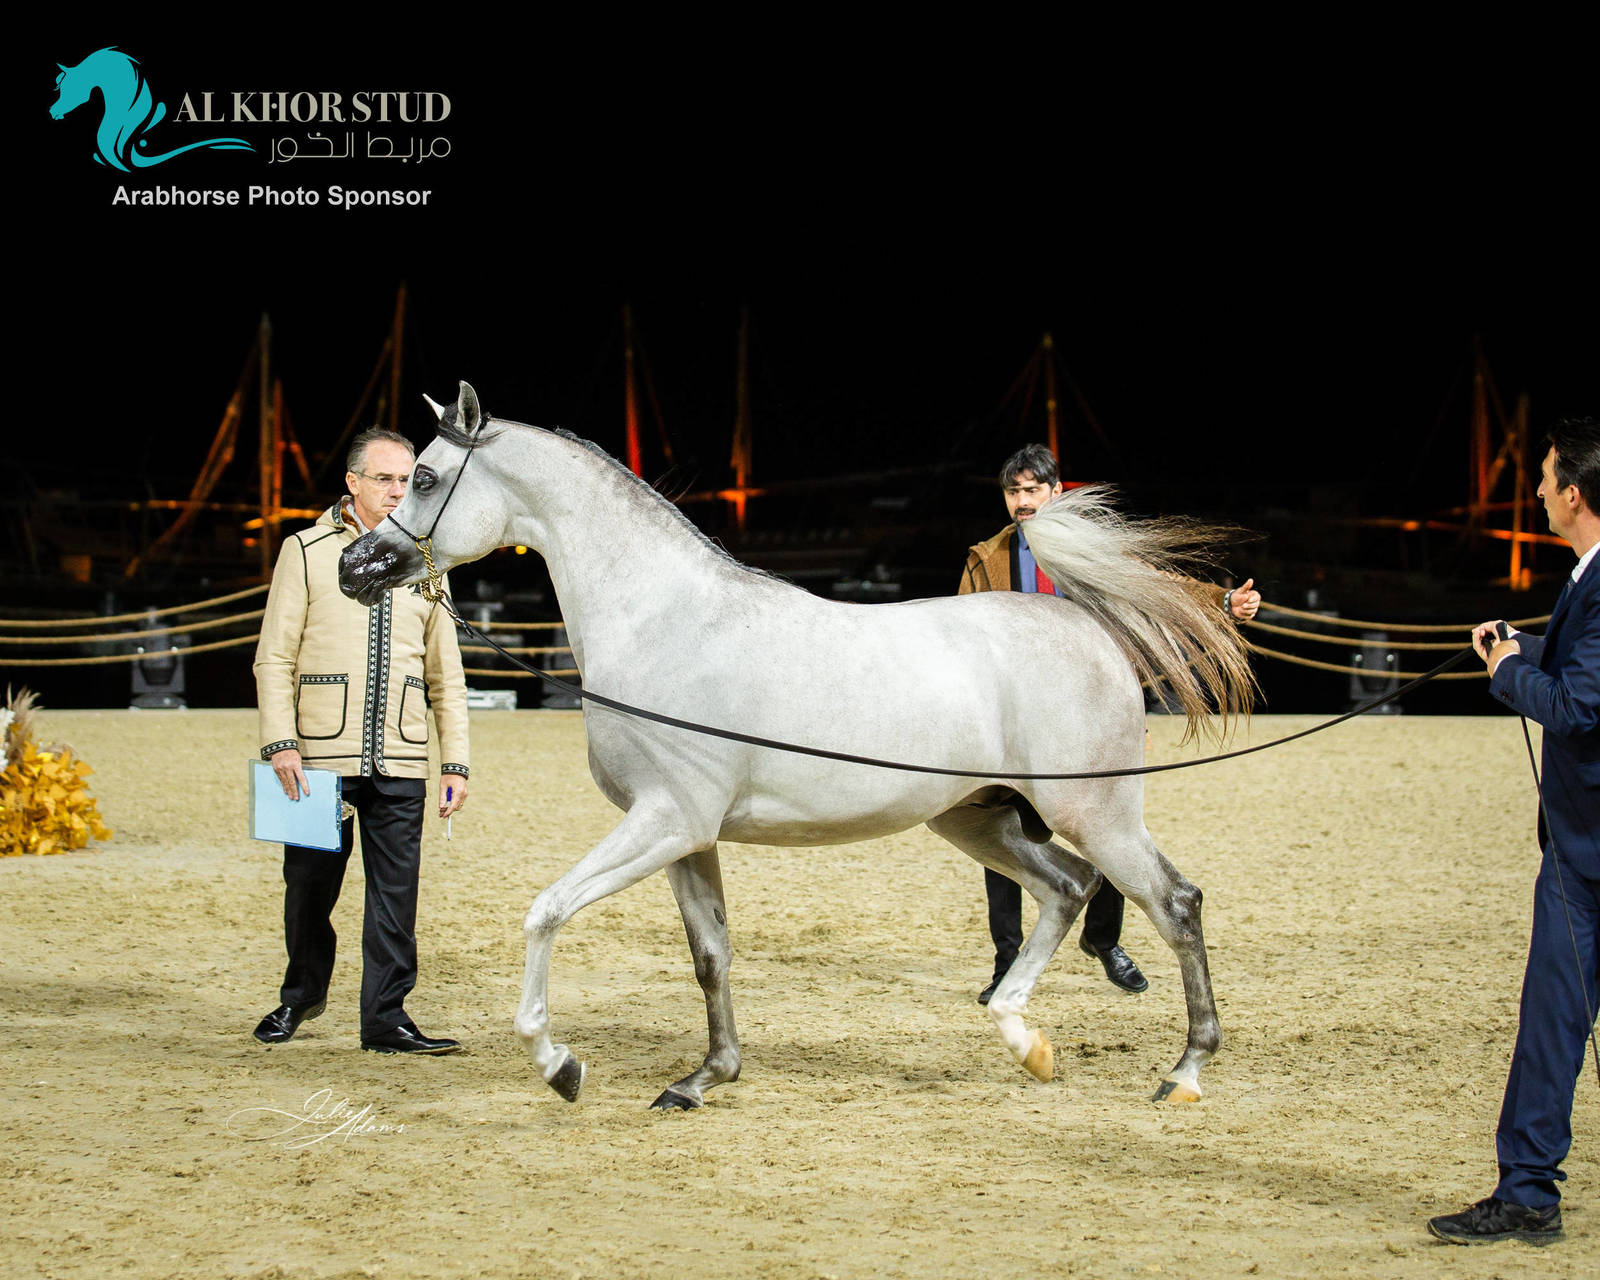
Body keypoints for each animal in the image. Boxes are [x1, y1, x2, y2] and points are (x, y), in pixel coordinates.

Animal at [339, 382, 1256, 1110]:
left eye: (425, 476)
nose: (356, 567)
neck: (665, 620)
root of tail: (1091, 629)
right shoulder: (687, 837)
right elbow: (711, 956)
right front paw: (703, 1079)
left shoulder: (665, 821)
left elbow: (548, 910)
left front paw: (559, 1064)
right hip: (977, 818)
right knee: (1067, 891)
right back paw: (1023, 1041)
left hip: (1093, 811)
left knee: (1173, 903)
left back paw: (1184, 1071)